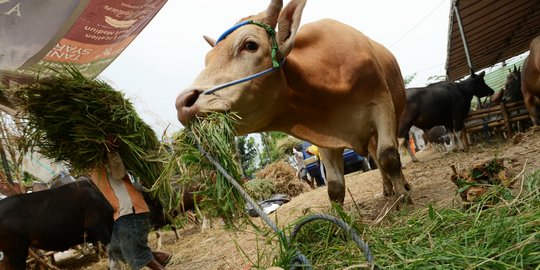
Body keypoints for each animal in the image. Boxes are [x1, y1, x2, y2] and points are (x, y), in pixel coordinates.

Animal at [175, 0, 412, 206]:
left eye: (250, 44)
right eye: (207, 59)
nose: (182, 103)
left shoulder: (382, 105)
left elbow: (389, 156)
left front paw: (404, 199)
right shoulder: (325, 136)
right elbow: (335, 186)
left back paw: (402, 186)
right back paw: (387, 188)